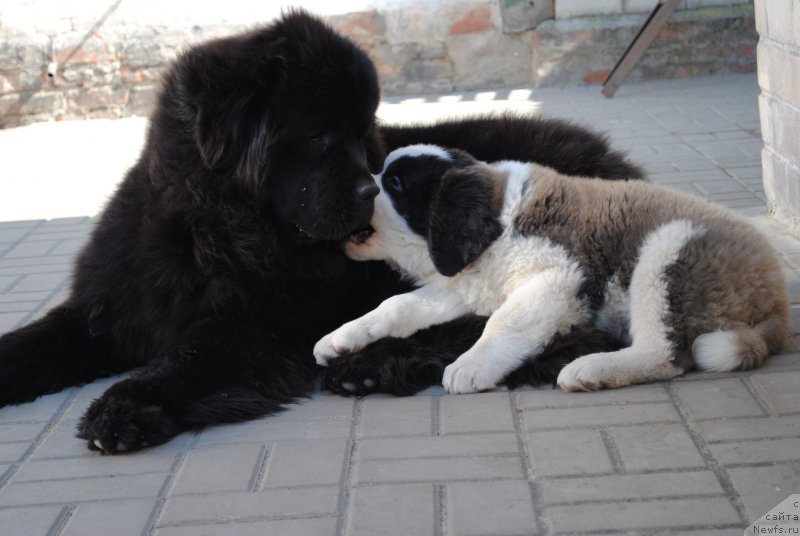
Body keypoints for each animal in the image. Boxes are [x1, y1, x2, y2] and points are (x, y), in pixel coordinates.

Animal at [0, 10, 644, 452]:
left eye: (363, 135)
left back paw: (370, 366)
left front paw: (126, 405)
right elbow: (38, 340)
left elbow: (189, 358)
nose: (368, 191)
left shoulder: (257, 330)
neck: (215, 233)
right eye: (318, 138)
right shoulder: (114, 305)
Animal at [312, 144, 788, 392]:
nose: (364, 185)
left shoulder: (559, 278)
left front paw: (472, 364)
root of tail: (778, 303)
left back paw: (590, 369)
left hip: (665, 252)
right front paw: (342, 338)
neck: (496, 221)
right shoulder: (461, 285)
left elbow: (503, 322)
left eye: (393, 184)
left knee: (665, 355)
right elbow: (396, 306)